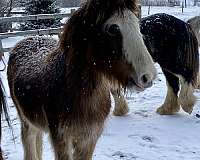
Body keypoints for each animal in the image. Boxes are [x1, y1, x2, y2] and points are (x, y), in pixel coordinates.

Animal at [5, 0, 156, 160]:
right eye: (113, 29)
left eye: (136, 24)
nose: (148, 76)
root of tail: (25, 41)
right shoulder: (61, 140)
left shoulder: (89, 139)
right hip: (26, 122)